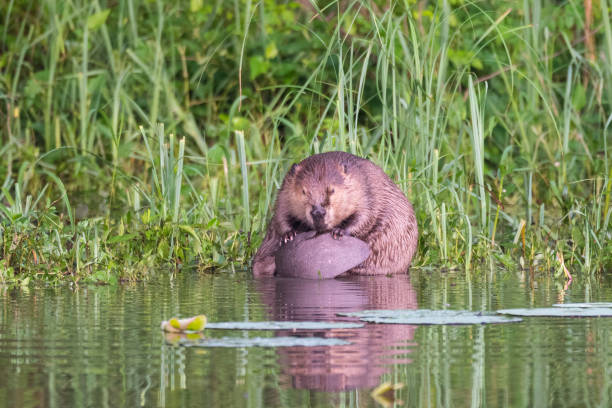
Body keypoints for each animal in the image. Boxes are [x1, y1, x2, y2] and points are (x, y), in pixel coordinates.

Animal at [251, 151, 418, 276]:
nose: (318, 212)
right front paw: (289, 235)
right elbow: (281, 214)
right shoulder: (285, 189)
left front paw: (339, 232)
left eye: (331, 190)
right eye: (304, 191)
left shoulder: (365, 189)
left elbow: (365, 216)